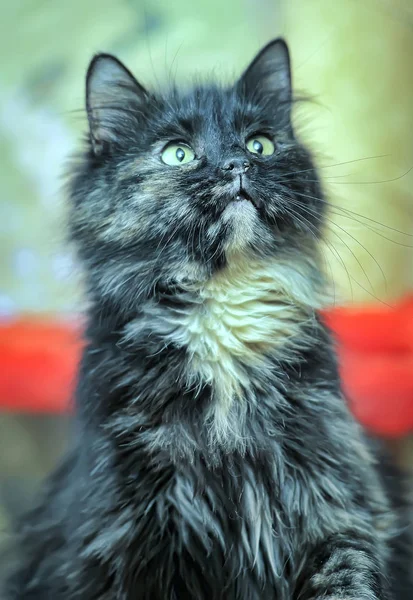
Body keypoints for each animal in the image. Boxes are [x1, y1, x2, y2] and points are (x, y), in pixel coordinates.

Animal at [4, 38, 412, 600]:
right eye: (177, 152)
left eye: (260, 144)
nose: (238, 164)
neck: (223, 305)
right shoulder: (132, 534)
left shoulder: (339, 505)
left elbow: (349, 580)